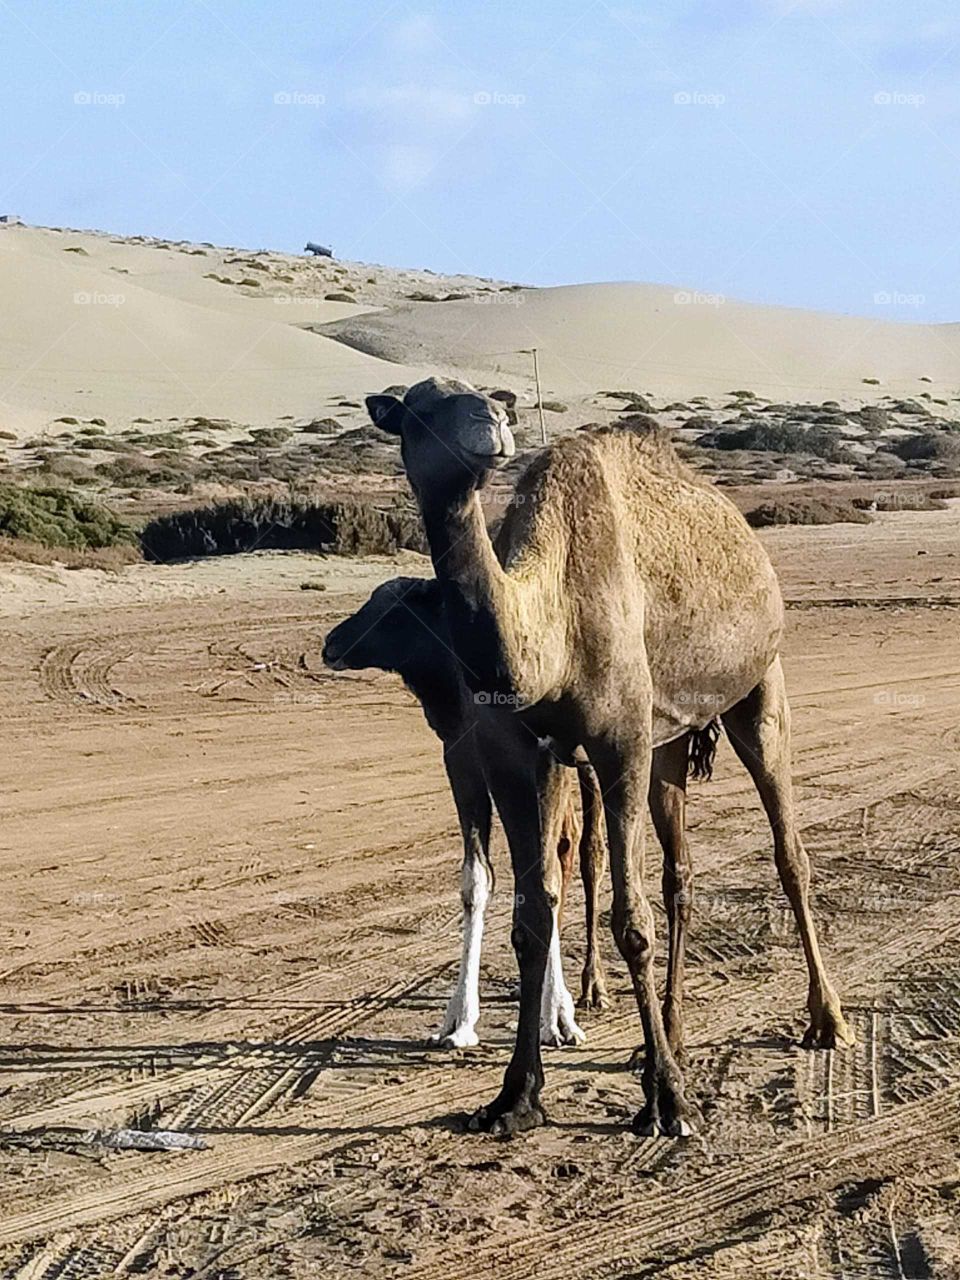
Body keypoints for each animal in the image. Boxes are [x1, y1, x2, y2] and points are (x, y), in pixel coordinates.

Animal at [323, 577, 720, 1056]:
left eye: (393, 607)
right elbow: (477, 879)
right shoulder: (460, 753)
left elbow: (549, 873)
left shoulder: (544, 755)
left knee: (587, 849)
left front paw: (555, 1019)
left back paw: (592, 988)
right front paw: (458, 1021)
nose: (331, 643)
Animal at [365, 377, 853, 1137]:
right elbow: (533, 918)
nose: (491, 423)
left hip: (759, 686)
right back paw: (671, 1038)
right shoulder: (516, 754)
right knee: (681, 871)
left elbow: (631, 921)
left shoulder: (619, 740)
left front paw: (670, 1102)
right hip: (669, 739)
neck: (550, 627)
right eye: (418, 407)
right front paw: (516, 1096)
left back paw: (825, 1021)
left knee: (789, 853)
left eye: (484, 400)